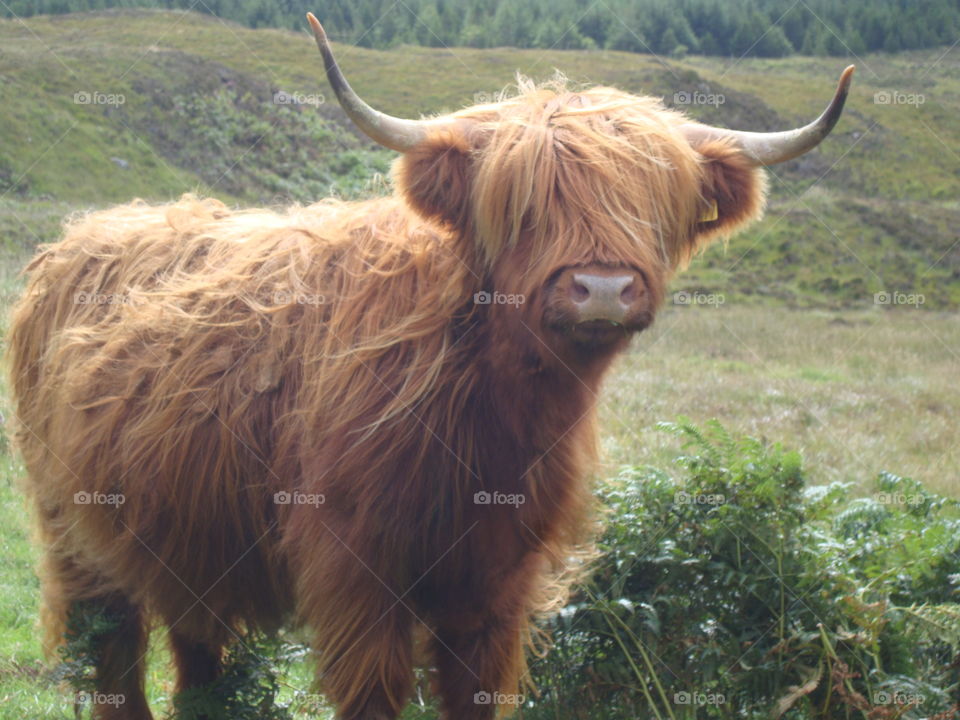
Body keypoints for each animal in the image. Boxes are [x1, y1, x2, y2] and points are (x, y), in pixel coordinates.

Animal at [6, 12, 853, 720]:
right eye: (523, 206)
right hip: (78, 536)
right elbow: (375, 695)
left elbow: (475, 694)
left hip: (189, 538)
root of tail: (81, 236)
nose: (604, 287)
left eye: (653, 204)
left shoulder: (500, 583)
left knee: (198, 662)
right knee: (113, 663)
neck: (493, 409)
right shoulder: (355, 571)